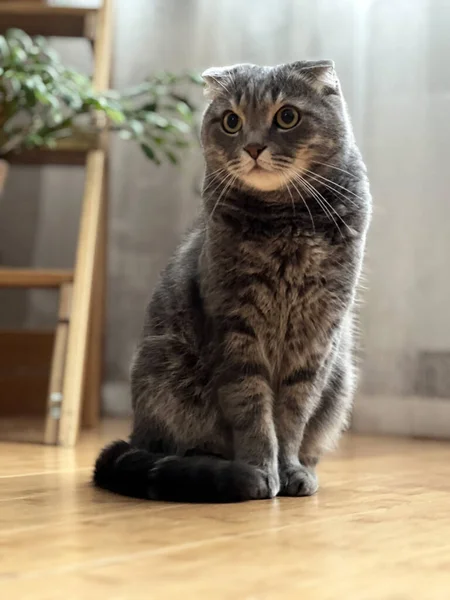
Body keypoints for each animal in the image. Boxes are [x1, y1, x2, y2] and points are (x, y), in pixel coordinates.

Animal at [93, 59, 370, 502]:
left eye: (286, 117)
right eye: (231, 121)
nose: (253, 147)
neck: (286, 226)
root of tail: (136, 433)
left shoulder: (317, 337)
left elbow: (293, 416)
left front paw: (289, 469)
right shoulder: (235, 328)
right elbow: (252, 411)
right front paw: (260, 471)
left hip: (340, 379)